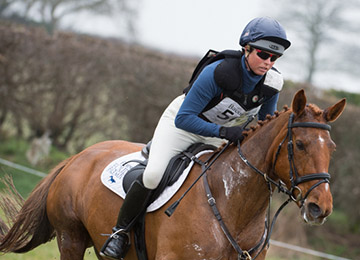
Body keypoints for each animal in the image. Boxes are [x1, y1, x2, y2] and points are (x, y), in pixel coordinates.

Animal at [0, 90, 346, 260]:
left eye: (332, 147)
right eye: (299, 144)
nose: (321, 207)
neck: (230, 205)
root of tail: (76, 157)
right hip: (70, 238)